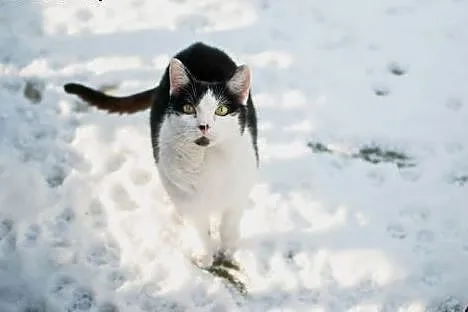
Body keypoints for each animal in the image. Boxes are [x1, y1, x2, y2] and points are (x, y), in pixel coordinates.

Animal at [63, 40, 260, 266]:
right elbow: (199, 228)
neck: (207, 161)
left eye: (221, 110)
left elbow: (229, 224)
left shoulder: (240, 190)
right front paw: (204, 255)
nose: (204, 126)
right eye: (189, 108)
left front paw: (226, 252)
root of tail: (199, 45)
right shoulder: (183, 194)